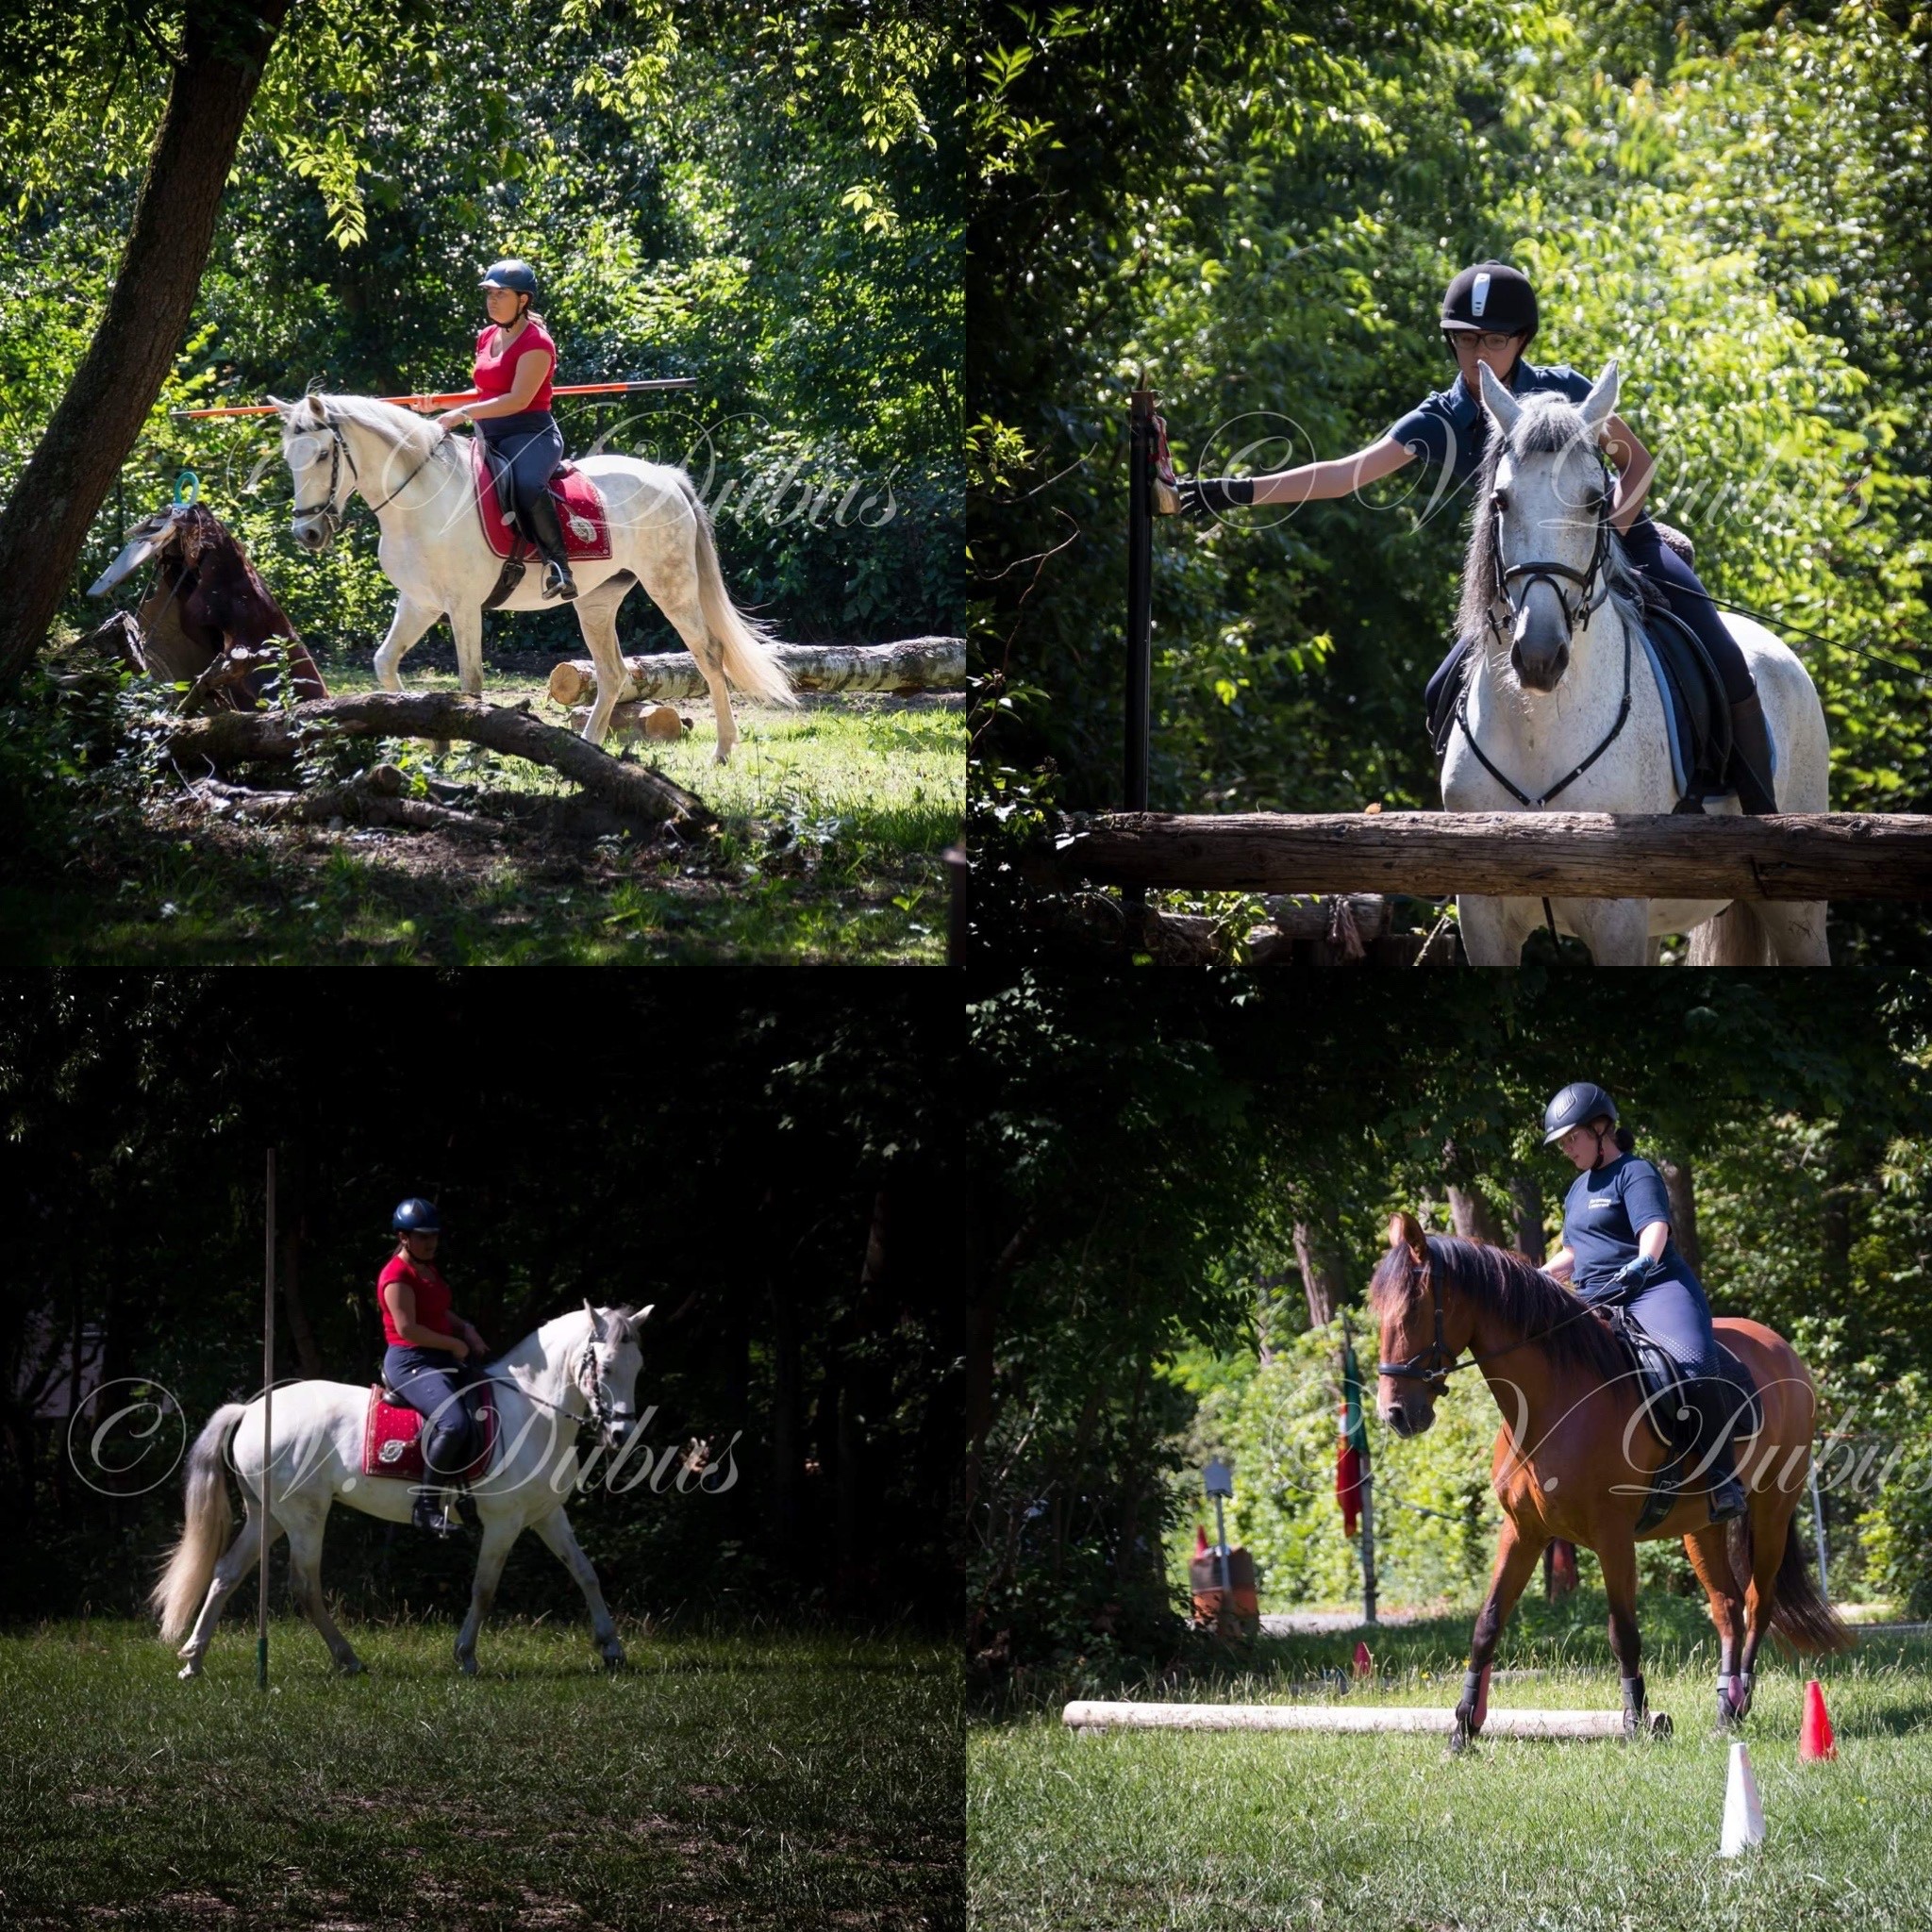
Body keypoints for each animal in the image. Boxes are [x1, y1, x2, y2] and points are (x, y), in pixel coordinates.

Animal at [144, 1306, 657, 1684]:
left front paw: (612, 1648)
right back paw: (346, 1658)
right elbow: (485, 1588)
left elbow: (586, 1574)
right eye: (606, 1367)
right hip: (305, 1515)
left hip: (267, 1515)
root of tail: (251, 1409)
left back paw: (194, 1661)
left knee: (226, 1573)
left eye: (639, 1368)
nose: (620, 1433)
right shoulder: (505, 1521)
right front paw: (466, 1656)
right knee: (304, 1585)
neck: (532, 1410)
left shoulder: (547, 1514)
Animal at [268, 390, 795, 753]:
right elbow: (384, 663)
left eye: (322, 455)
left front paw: (471, 753)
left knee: (708, 654)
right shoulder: (420, 604)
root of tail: (666, 477)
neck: (420, 497)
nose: (307, 533)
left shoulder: (462, 606)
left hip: (671, 586)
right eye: (288, 459)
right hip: (596, 600)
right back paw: (588, 751)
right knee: (612, 673)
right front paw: (422, 739)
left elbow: (470, 683)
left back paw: (722, 749)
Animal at [1367, 1221, 1846, 1754]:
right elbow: (1487, 1624)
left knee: (1759, 1605)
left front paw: (1637, 1722)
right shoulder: (1523, 1532)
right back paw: (1726, 1712)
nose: (1396, 1414)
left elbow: (1623, 1631)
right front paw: (1464, 1728)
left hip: (1771, 1513)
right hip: (1701, 1526)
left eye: (1413, 1310)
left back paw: (1738, 1706)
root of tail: (1781, 1349)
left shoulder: (1613, 1536)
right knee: (1727, 1606)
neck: (1553, 1401)